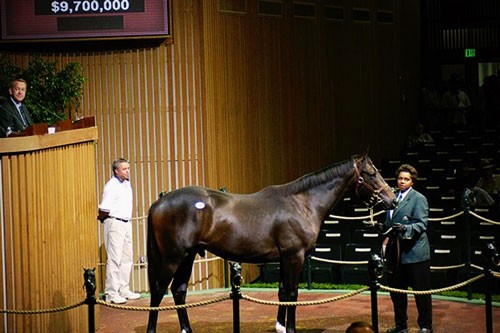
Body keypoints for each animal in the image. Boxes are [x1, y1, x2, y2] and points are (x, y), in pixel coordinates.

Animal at [146, 153, 396, 332]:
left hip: (187, 257)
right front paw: (291, 328)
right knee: (158, 291)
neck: (302, 203)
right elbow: (293, 294)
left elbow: (283, 292)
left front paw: (281, 326)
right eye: (371, 173)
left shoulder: (285, 258)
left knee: (178, 291)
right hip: (172, 258)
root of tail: (159, 203)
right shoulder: (294, 256)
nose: (392, 199)